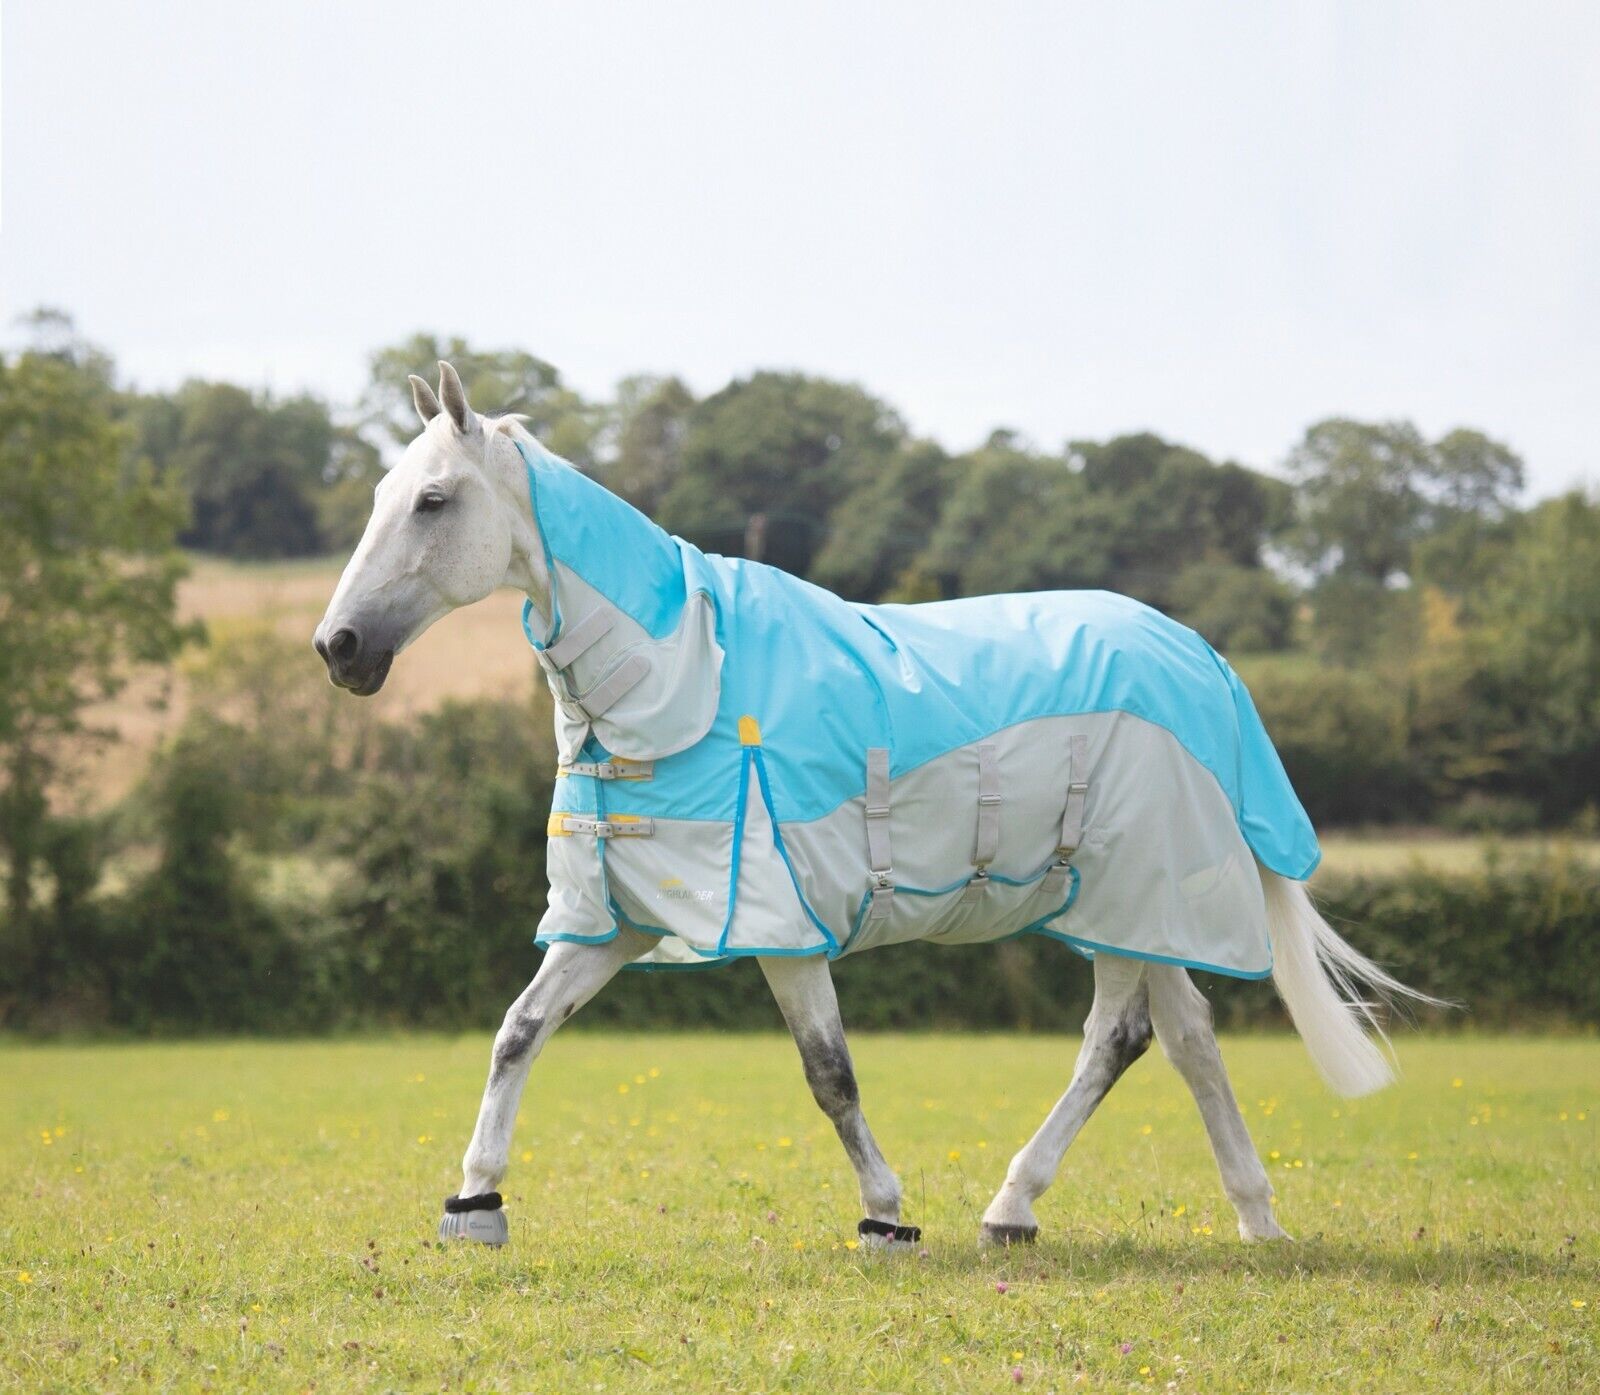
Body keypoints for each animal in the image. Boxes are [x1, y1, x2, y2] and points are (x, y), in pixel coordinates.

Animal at [315, 361, 1427, 1249]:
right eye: (381, 493)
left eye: (433, 500)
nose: (340, 648)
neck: (683, 673)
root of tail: (1197, 655)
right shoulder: (617, 919)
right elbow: (519, 1031)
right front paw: (475, 1204)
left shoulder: (781, 927)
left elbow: (829, 1074)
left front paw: (885, 1218)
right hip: (1132, 909)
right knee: (1180, 1034)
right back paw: (1221, 1217)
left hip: (1131, 896)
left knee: (1124, 1036)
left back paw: (1036, 1207)